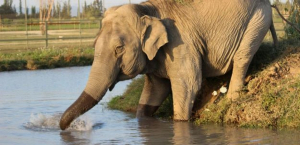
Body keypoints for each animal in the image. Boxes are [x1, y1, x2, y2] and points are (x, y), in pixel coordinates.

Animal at [59, 0, 278, 129]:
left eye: (119, 48)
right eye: (94, 44)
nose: (65, 128)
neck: (147, 9)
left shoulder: (181, 43)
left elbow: (188, 84)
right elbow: (155, 90)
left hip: (258, 19)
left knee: (242, 56)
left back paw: (233, 98)